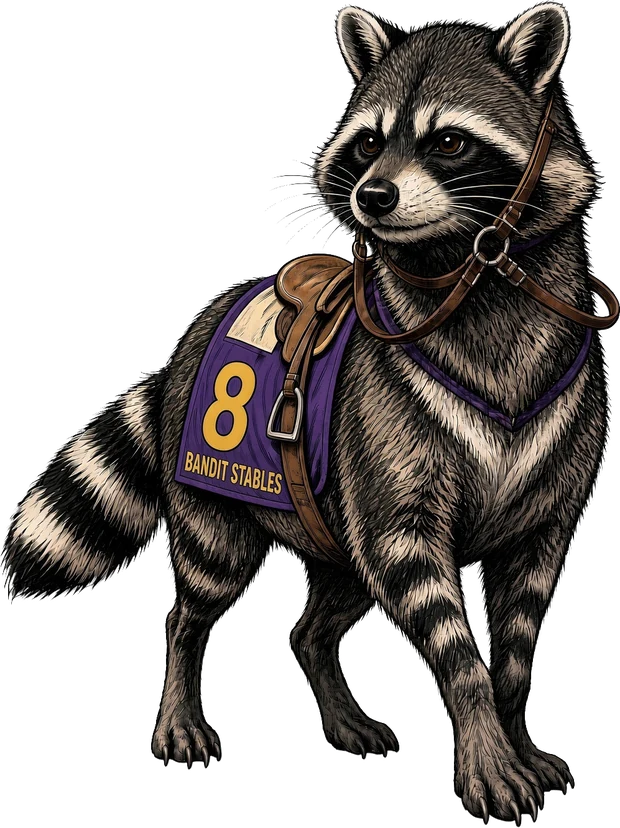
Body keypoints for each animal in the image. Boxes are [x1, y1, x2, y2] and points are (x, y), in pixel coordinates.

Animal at [2, 4, 613, 824]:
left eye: (449, 141)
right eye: (367, 143)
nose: (374, 197)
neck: (467, 281)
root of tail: (187, 341)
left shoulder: (550, 506)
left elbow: (519, 636)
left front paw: (513, 727)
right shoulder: (390, 462)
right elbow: (449, 632)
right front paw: (485, 741)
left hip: (334, 525)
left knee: (317, 623)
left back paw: (334, 695)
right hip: (214, 498)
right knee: (197, 599)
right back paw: (181, 698)